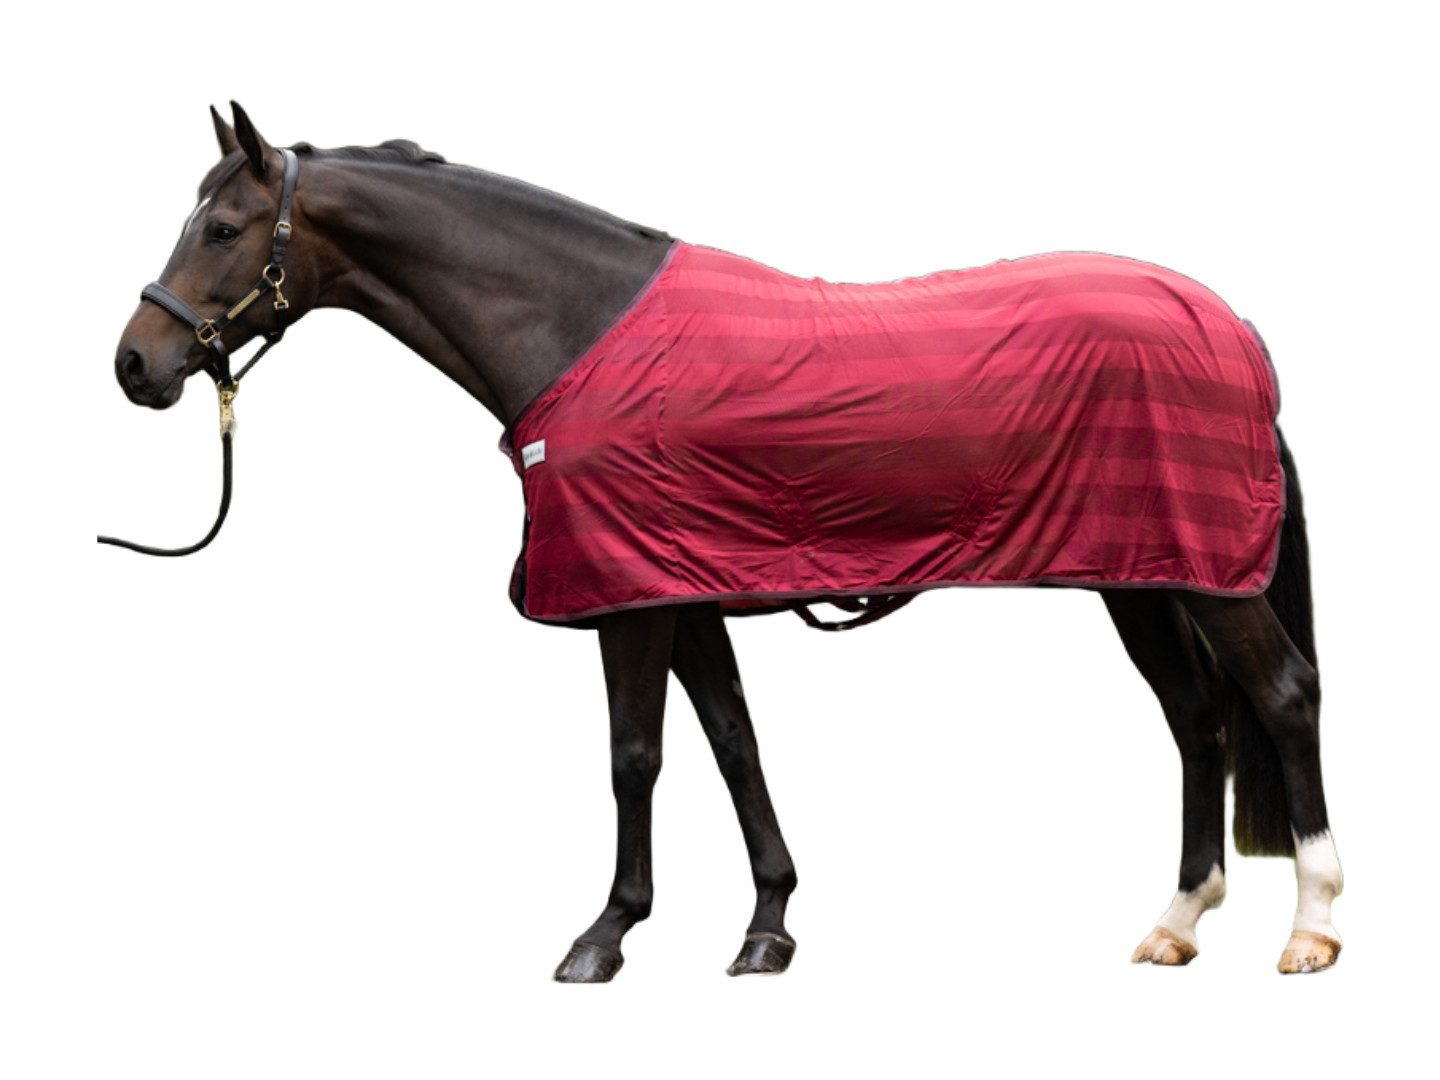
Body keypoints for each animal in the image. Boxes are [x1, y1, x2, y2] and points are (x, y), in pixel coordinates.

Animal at [107, 103, 1343, 981]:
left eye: (222, 228)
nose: (135, 364)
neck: (575, 327)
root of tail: (1231, 324)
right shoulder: (684, 590)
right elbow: (734, 743)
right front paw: (768, 927)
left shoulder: (629, 600)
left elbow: (635, 758)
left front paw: (604, 935)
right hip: (1141, 576)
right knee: (1194, 717)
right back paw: (1178, 921)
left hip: (1208, 580)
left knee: (1280, 696)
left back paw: (1313, 926)